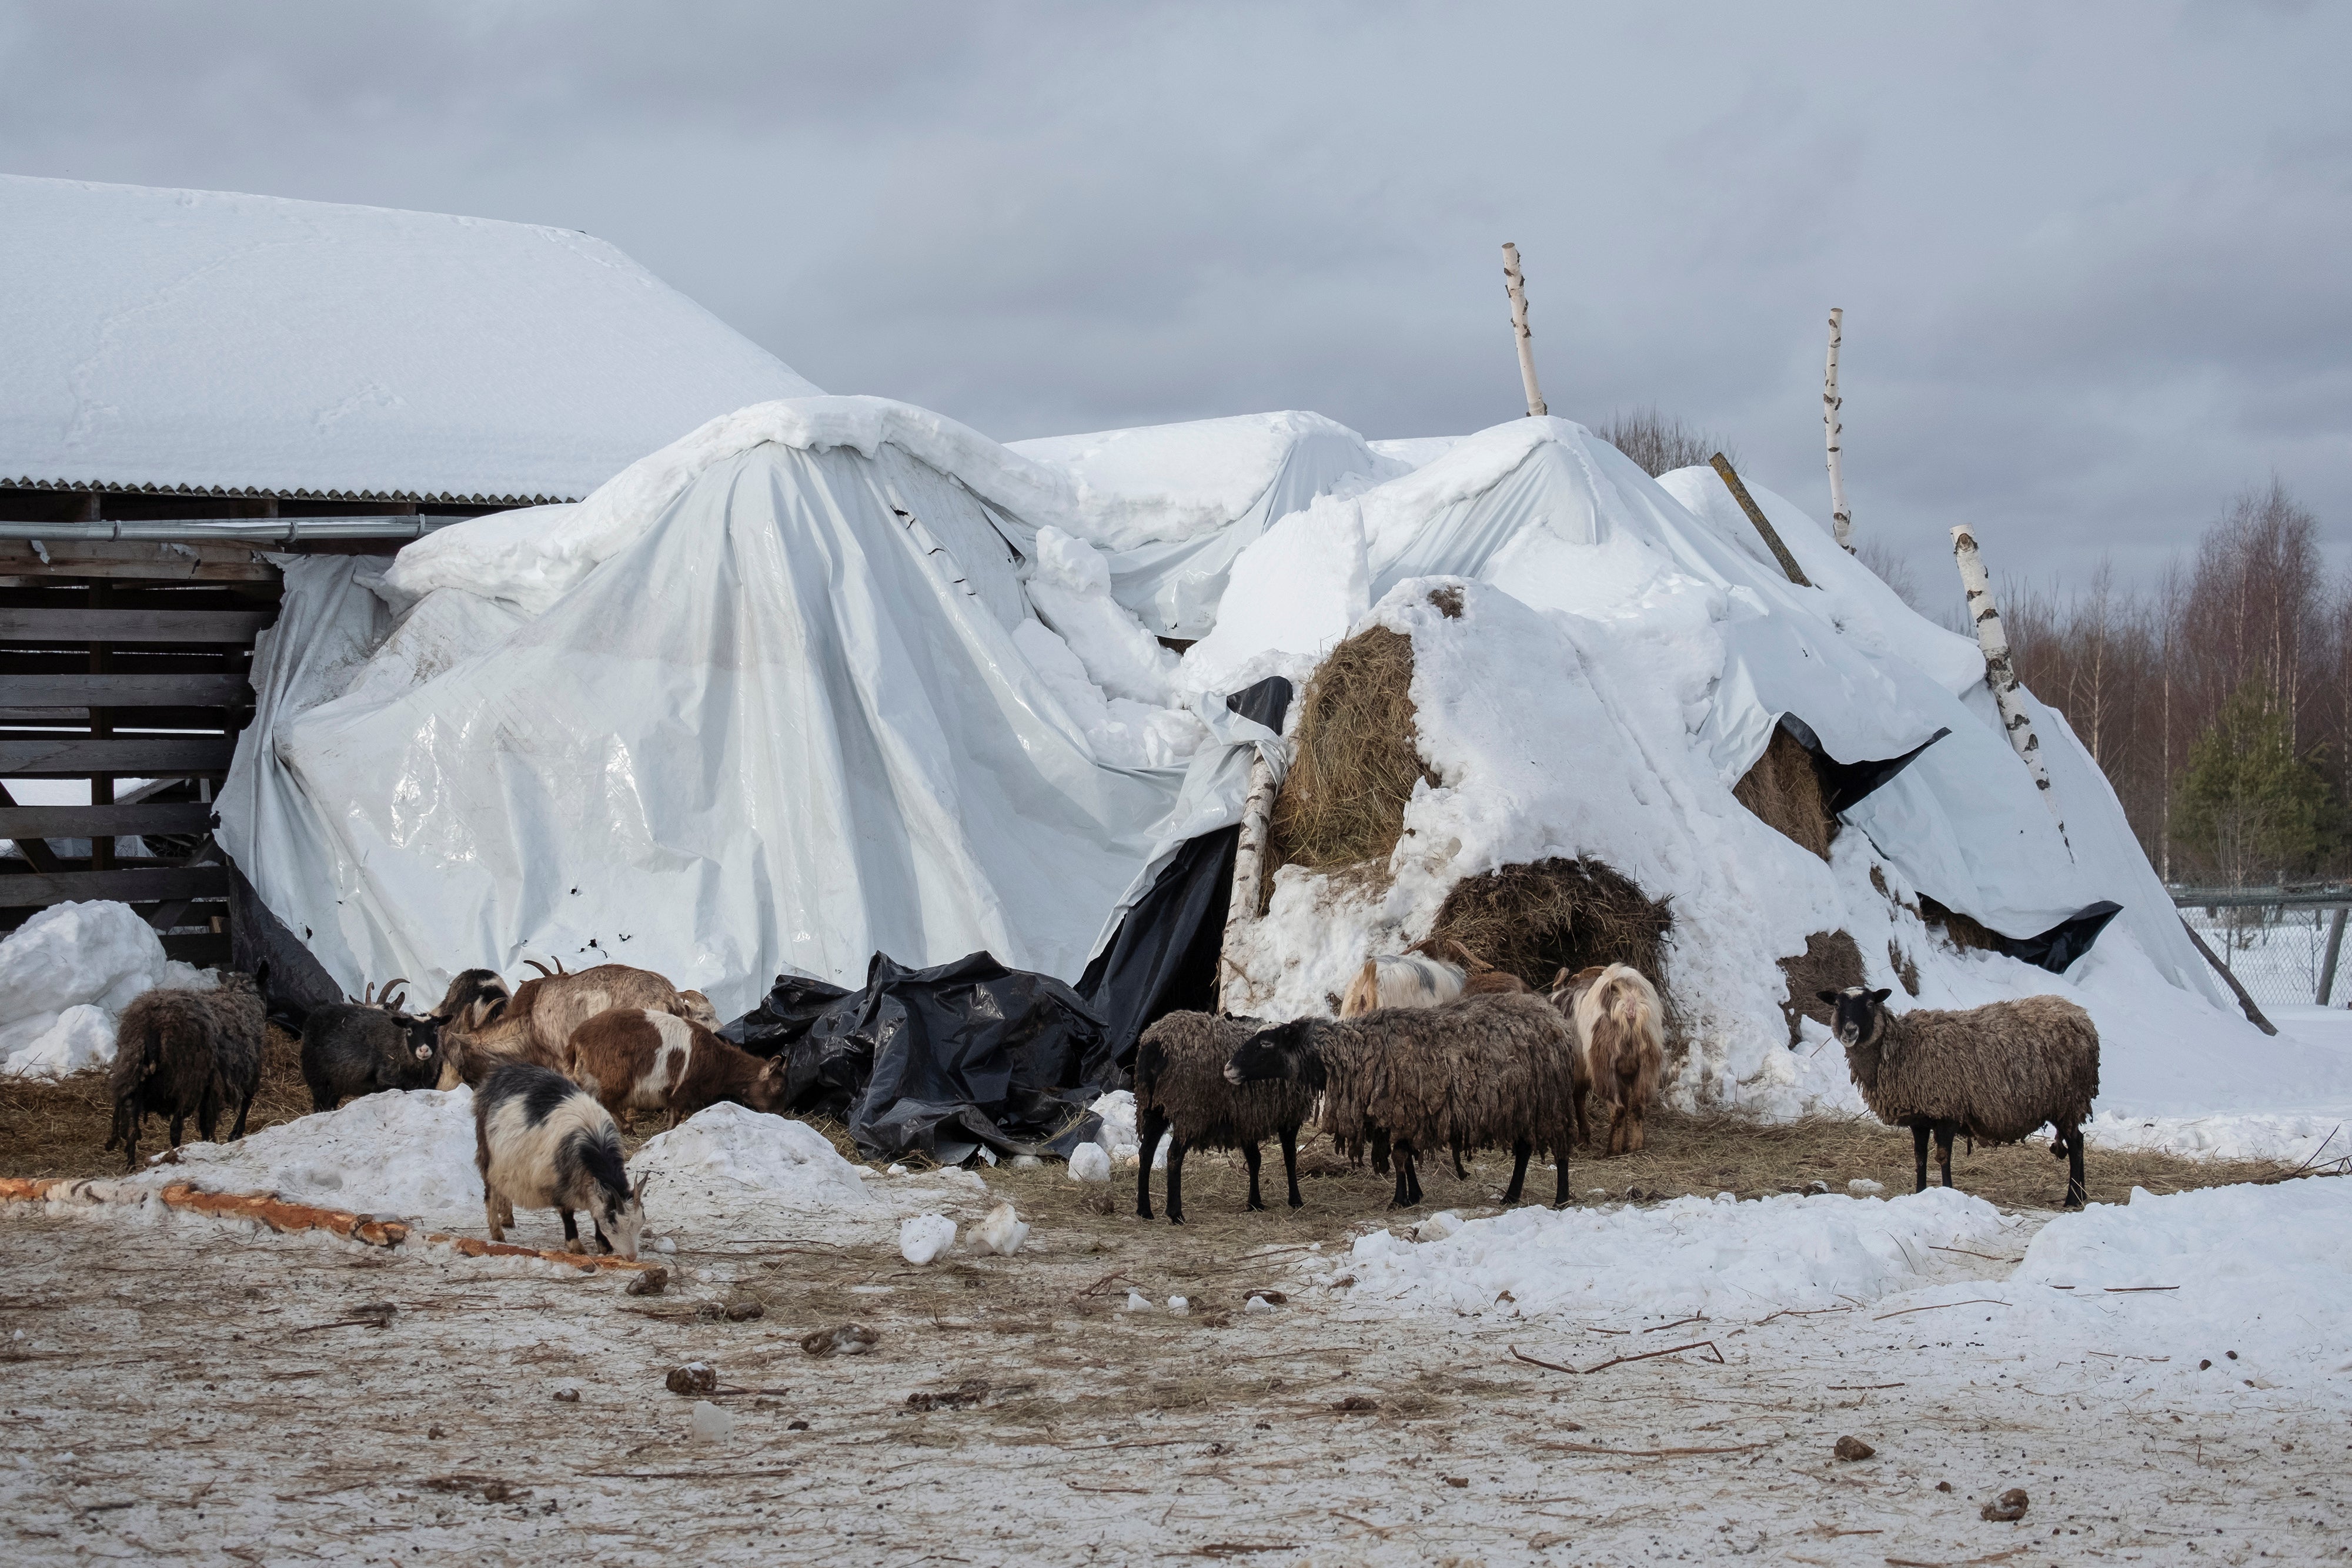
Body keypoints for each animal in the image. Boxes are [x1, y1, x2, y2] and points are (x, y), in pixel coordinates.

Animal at [475, 1062, 649, 1260]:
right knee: (490, 1192)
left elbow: (596, 1210)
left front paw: (603, 1246)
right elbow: (567, 1213)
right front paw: (576, 1246)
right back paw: (497, 1233)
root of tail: (500, 1073)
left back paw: (507, 1218)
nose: (632, 1257)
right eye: (614, 1227)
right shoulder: (558, 1181)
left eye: (641, 1223)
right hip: (487, 1153)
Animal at [564, 1006, 795, 1128]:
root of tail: (576, 1039)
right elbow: (677, 1115)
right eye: (779, 1088)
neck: (721, 1063)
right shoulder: (683, 1089)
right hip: (614, 1077)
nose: (780, 1114)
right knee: (607, 1101)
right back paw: (628, 1129)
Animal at [1134, 1020, 1327, 1222]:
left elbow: (1255, 1160)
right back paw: (1176, 1213)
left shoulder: (1247, 1120)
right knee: (1174, 1155)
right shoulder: (1289, 1117)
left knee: (1146, 1153)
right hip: (1190, 1109)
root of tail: (1156, 1044)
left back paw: (1145, 1210)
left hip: (1154, 1106)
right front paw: (1295, 1200)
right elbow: (1289, 1157)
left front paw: (1255, 1203)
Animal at [1214, 1001, 1581, 1213]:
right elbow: (1402, 1155)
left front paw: (1399, 1200)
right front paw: (1414, 1196)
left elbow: (1400, 1157)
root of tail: (1558, 1023)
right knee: (1524, 1149)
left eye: (1265, 1044)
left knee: (1561, 1150)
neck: (1352, 1053)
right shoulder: (1401, 1115)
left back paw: (1561, 1199)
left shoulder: (1401, 1109)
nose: (1228, 1069)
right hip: (1522, 1106)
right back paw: (1511, 1197)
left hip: (1550, 1103)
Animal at [1806, 987, 2107, 1213]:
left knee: (2076, 1144)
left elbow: (1942, 1157)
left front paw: (1948, 1191)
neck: (1901, 1047)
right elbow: (1919, 1157)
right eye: (1837, 1005)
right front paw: (1920, 1193)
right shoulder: (1920, 1118)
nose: (1850, 1031)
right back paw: (2079, 1197)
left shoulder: (1947, 1110)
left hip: (2068, 1101)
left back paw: (2074, 1199)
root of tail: (2079, 1014)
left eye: (1870, 1003)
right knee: (2077, 1142)